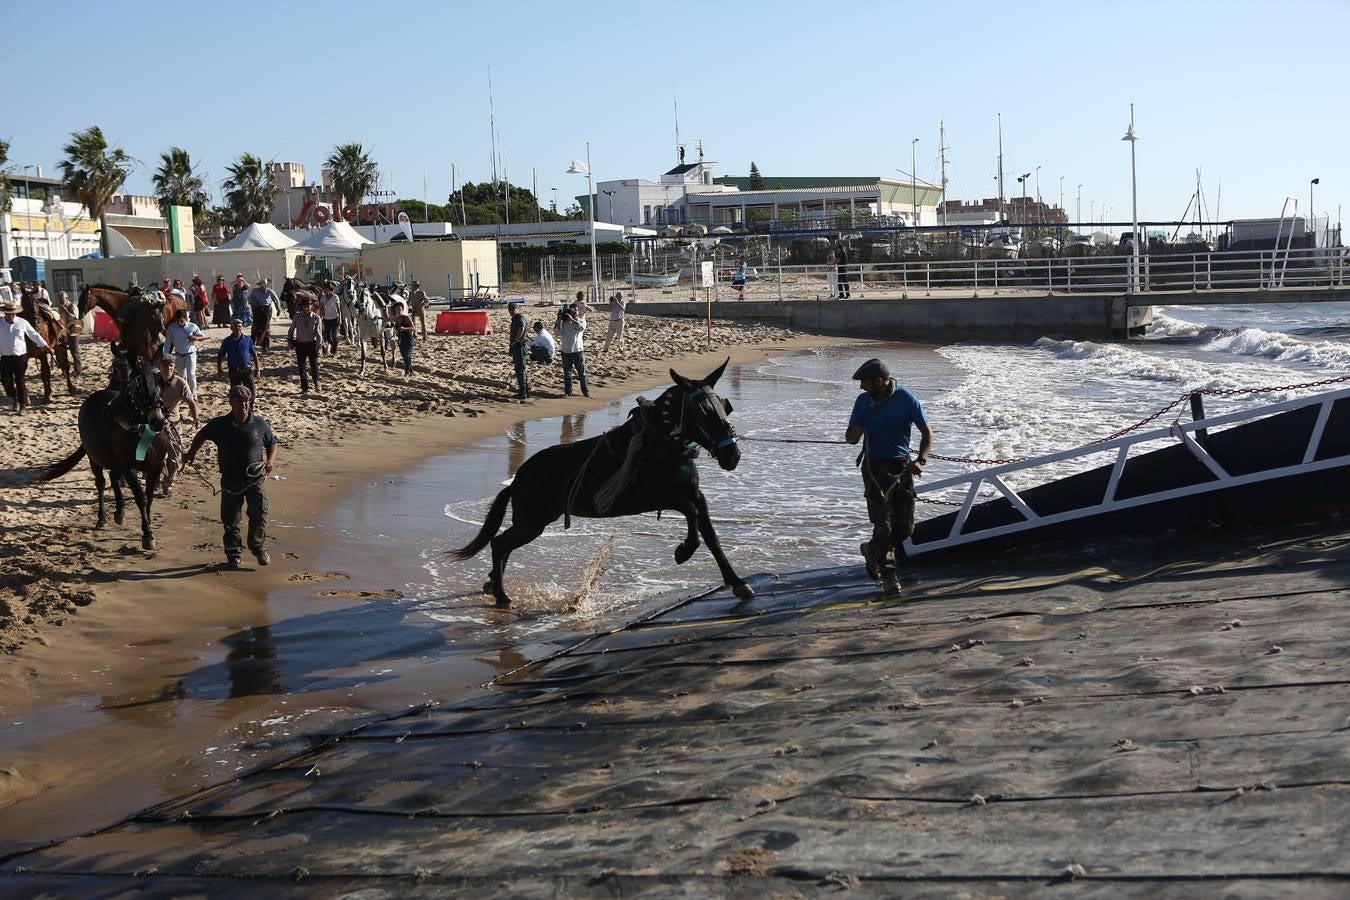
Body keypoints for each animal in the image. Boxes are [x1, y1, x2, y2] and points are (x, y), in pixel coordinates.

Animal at [34, 372, 167, 553]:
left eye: (161, 388)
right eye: (141, 391)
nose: (157, 421)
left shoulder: (156, 467)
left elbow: (150, 496)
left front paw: (147, 523)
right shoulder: (129, 468)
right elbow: (141, 498)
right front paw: (147, 534)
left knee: (113, 477)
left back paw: (119, 512)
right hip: (94, 458)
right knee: (102, 482)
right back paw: (102, 517)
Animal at [450, 361, 750, 609]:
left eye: (724, 407)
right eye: (702, 413)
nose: (732, 455)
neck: (660, 443)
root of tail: (519, 477)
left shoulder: (695, 494)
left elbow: (710, 535)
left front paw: (736, 581)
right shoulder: (651, 496)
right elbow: (690, 511)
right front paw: (684, 550)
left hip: (531, 522)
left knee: (503, 545)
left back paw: (493, 583)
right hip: (532, 522)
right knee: (500, 544)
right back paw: (501, 595)